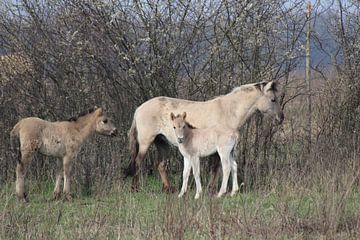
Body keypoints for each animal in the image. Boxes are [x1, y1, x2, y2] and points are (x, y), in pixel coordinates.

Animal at [125, 81, 286, 192]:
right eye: (273, 99)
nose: (281, 118)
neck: (228, 111)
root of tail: (139, 109)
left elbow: (217, 166)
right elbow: (215, 166)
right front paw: (212, 189)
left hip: (162, 142)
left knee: (161, 165)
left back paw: (169, 189)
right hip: (146, 142)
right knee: (138, 162)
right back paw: (135, 188)